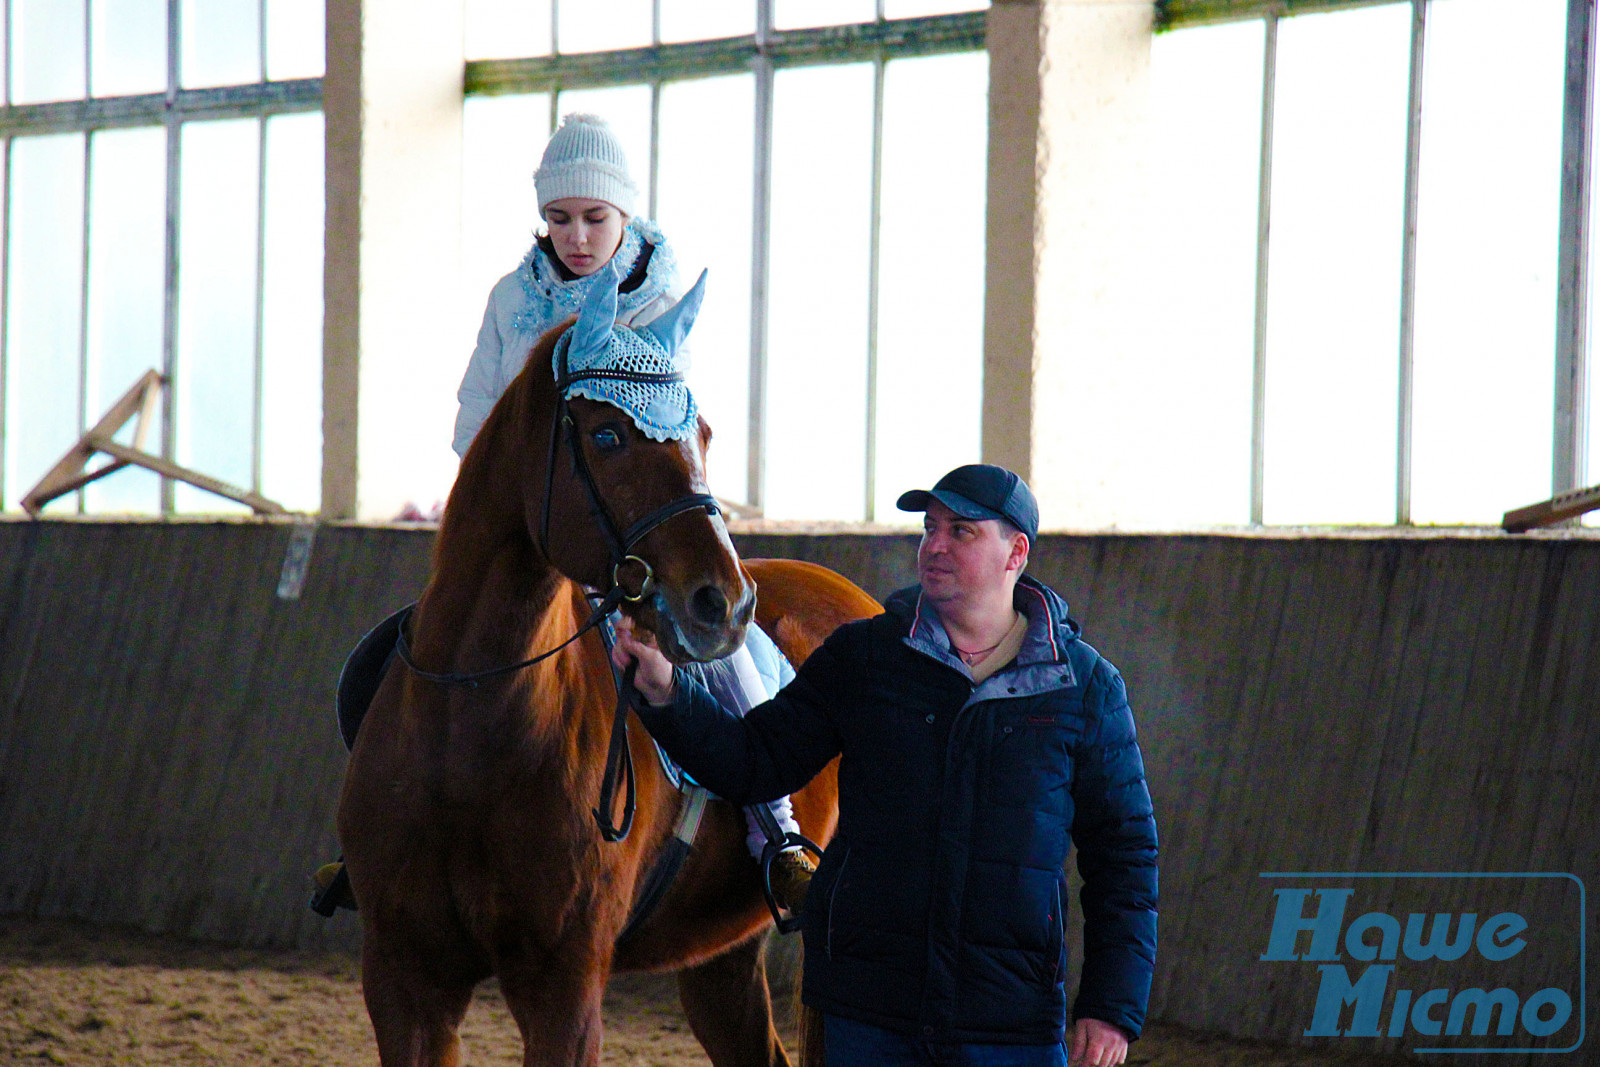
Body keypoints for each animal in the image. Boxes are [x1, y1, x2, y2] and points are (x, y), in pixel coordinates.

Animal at [334, 278, 876, 1067]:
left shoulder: (564, 987)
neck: (466, 731)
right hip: (720, 955)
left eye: (703, 435)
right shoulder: (405, 980)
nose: (725, 602)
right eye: (607, 437)